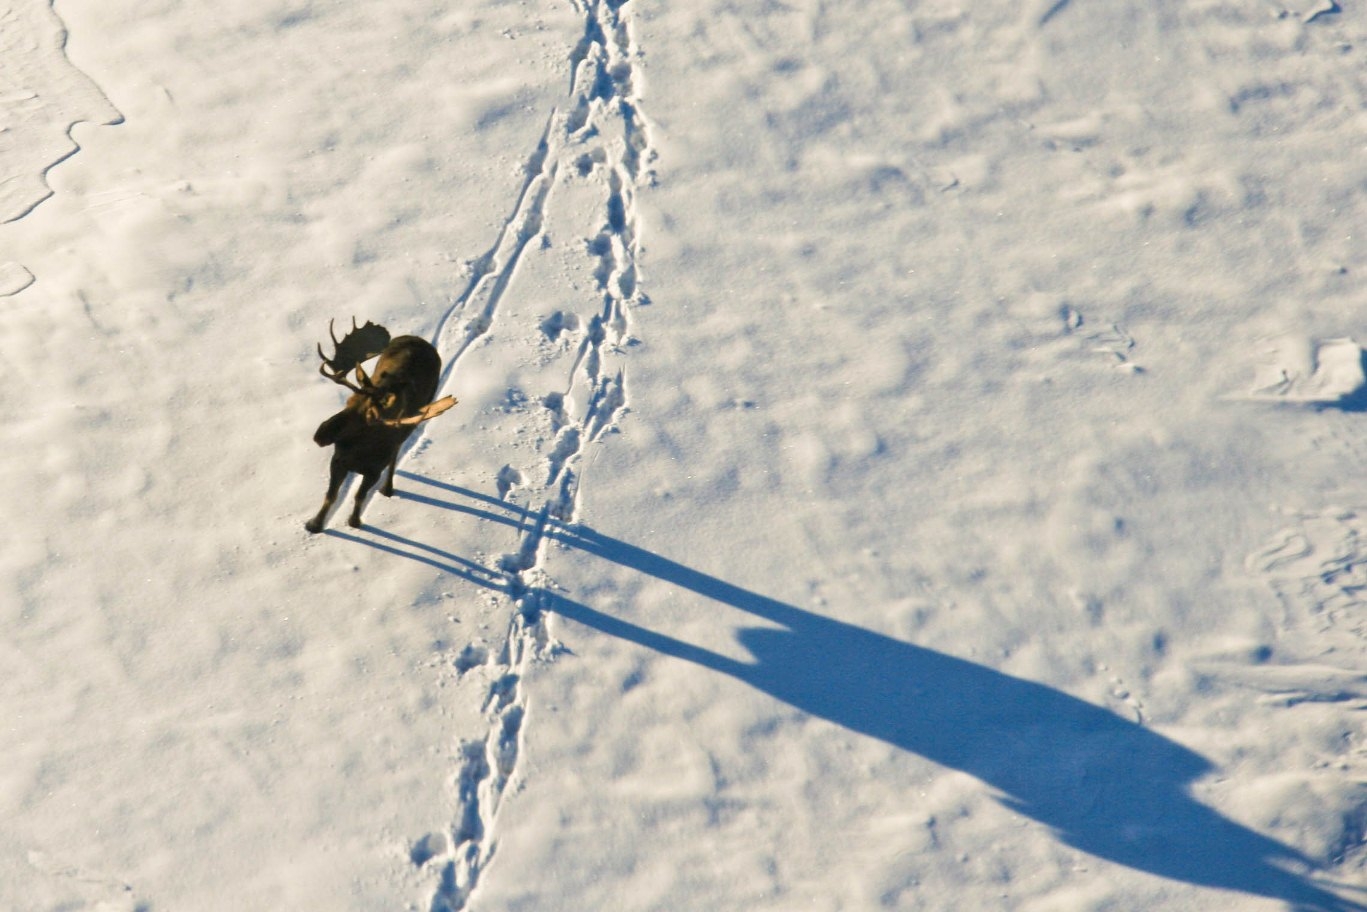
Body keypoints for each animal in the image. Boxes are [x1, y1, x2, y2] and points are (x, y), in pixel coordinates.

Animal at [305, 318, 457, 533]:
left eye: (367, 415)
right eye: (348, 401)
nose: (320, 433)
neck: (357, 452)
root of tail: (420, 340)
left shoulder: (373, 470)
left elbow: (359, 496)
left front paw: (354, 521)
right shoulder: (338, 461)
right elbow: (330, 496)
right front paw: (314, 524)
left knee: (396, 453)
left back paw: (388, 488)